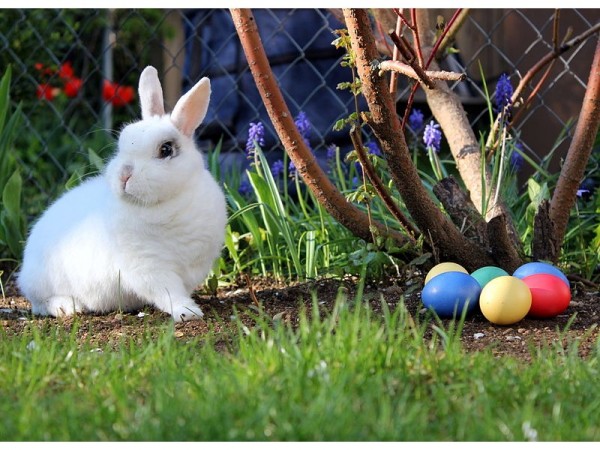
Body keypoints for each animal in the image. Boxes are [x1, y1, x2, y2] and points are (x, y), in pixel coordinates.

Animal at [17, 65, 227, 322]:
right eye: (122, 142)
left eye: (166, 149)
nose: (124, 175)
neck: (167, 203)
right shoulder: (148, 266)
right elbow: (168, 292)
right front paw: (187, 312)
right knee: (39, 304)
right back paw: (65, 307)